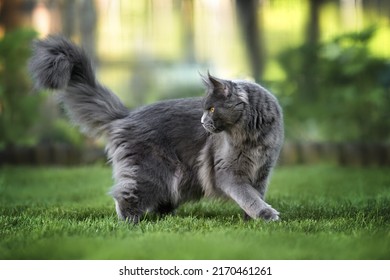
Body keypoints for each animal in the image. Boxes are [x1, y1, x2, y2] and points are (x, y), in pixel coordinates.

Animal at [28, 36, 284, 223]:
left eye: (211, 109)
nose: (202, 121)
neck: (252, 137)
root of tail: (126, 115)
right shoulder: (227, 172)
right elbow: (248, 196)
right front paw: (266, 216)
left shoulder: (262, 171)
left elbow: (254, 195)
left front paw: (251, 220)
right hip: (152, 170)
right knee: (125, 194)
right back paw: (130, 222)